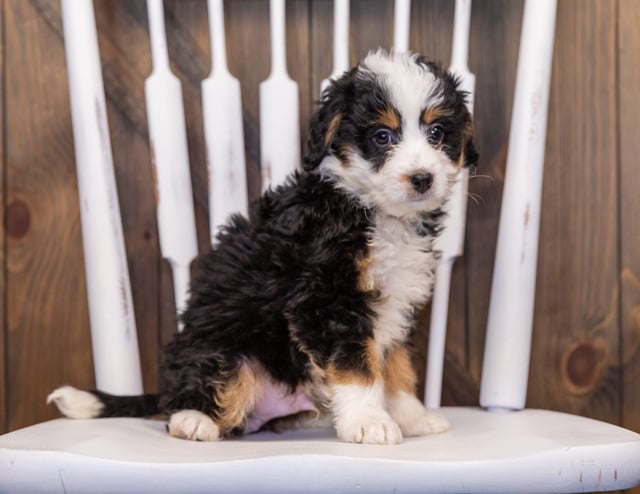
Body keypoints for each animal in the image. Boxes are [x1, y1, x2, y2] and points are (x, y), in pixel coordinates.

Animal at [50, 49, 478, 444]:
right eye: (381, 137)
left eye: (438, 133)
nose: (422, 178)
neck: (368, 207)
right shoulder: (327, 300)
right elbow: (357, 367)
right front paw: (369, 422)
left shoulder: (396, 304)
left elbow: (396, 366)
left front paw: (412, 417)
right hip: (225, 351)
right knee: (196, 390)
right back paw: (194, 420)